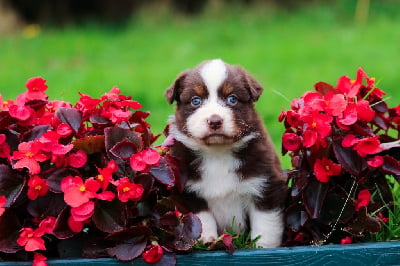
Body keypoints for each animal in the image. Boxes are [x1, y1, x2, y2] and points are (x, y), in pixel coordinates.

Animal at [164, 59, 286, 248]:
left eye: (232, 99)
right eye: (195, 100)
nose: (215, 121)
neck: (218, 153)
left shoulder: (266, 182)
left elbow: (265, 224)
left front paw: (262, 247)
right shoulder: (187, 189)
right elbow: (202, 218)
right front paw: (207, 239)